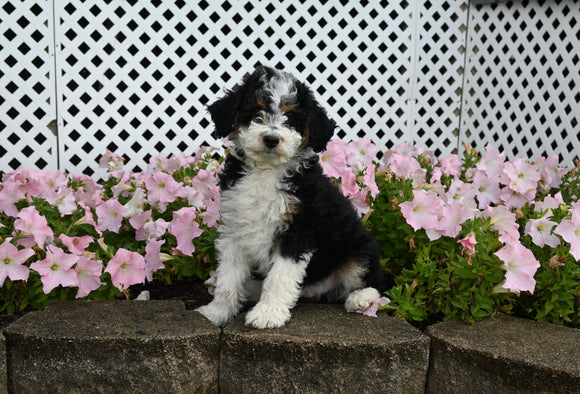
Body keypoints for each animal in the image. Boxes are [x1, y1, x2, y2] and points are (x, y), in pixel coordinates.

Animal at [196, 67, 386, 330]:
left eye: (291, 117)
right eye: (256, 111)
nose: (271, 139)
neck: (267, 169)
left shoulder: (297, 231)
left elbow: (279, 277)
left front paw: (267, 314)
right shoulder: (235, 230)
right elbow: (228, 276)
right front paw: (216, 312)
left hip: (357, 249)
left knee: (373, 281)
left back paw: (360, 299)